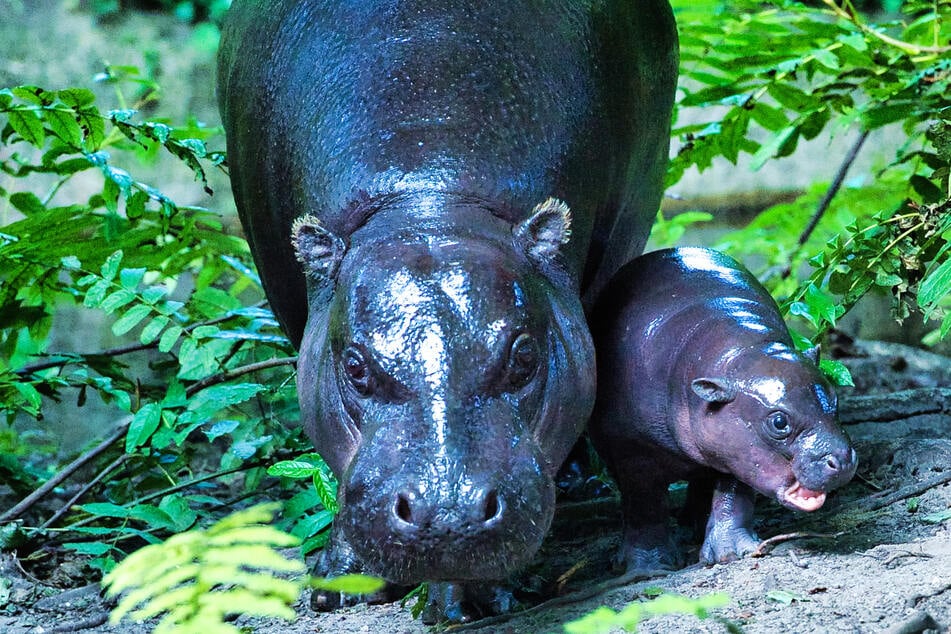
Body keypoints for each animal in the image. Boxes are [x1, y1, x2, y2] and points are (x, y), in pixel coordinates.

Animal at [218, 0, 676, 620]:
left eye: (524, 356)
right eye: (355, 367)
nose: (447, 514)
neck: (430, 197)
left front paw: (474, 598)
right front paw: (340, 585)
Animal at [592, 246, 860, 568]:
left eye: (834, 399)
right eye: (779, 422)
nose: (842, 459)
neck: (738, 354)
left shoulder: (738, 449)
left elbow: (734, 493)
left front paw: (733, 553)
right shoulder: (633, 450)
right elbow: (644, 504)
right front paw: (649, 567)